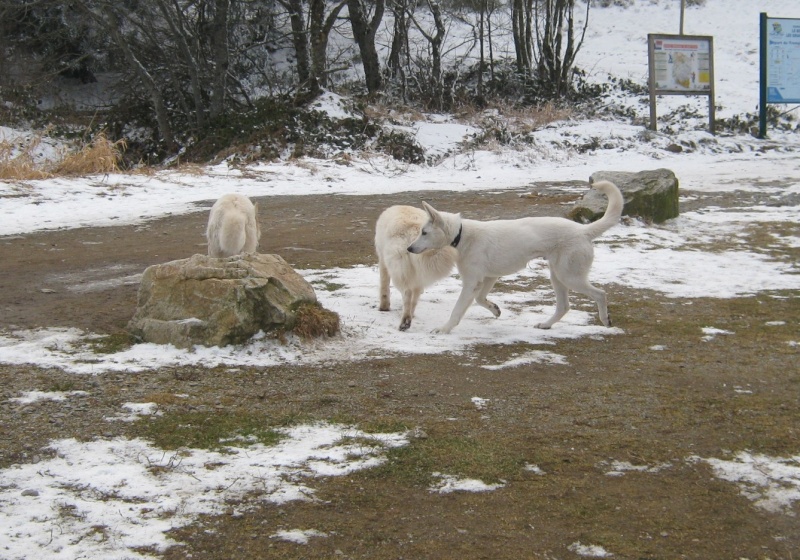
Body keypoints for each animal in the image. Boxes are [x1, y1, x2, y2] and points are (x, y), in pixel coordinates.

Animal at [406, 182, 624, 332]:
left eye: (424, 232)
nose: (408, 248)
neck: (462, 235)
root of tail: (583, 230)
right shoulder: (488, 278)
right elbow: (480, 299)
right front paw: (495, 309)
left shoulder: (471, 282)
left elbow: (458, 309)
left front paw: (444, 329)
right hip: (557, 277)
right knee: (564, 306)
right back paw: (546, 325)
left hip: (569, 276)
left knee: (600, 294)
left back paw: (606, 320)